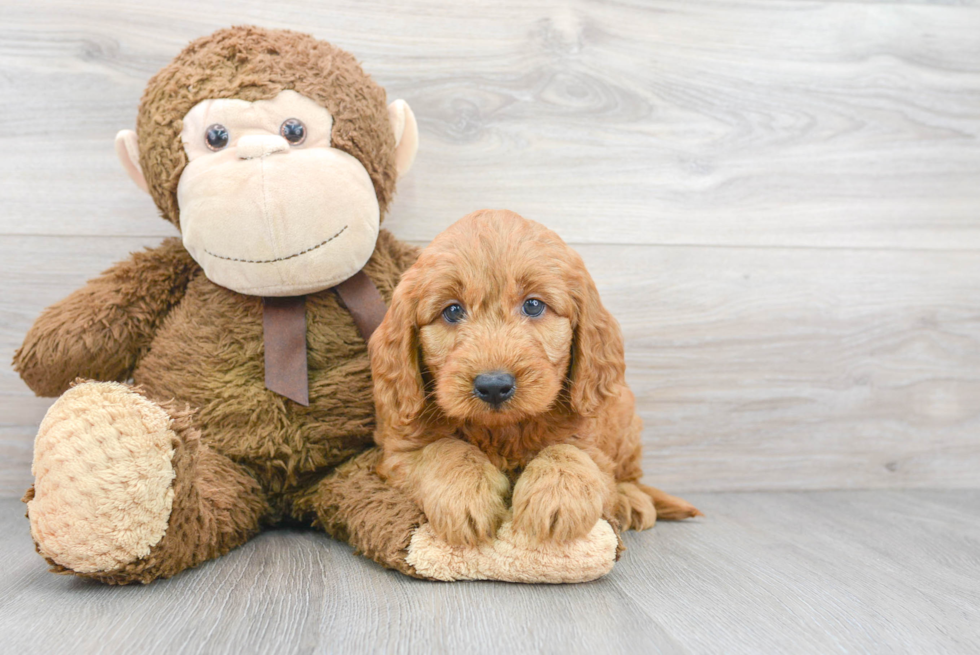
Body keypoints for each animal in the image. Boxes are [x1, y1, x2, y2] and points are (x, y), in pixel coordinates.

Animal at [368, 211, 696, 548]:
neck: (502, 431)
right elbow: (443, 448)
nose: (494, 386)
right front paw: (464, 494)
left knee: (631, 474)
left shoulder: (591, 442)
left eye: (533, 305)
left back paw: (630, 498)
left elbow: (570, 451)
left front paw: (558, 497)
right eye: (453, 310)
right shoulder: (397, 454)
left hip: (625, 419)